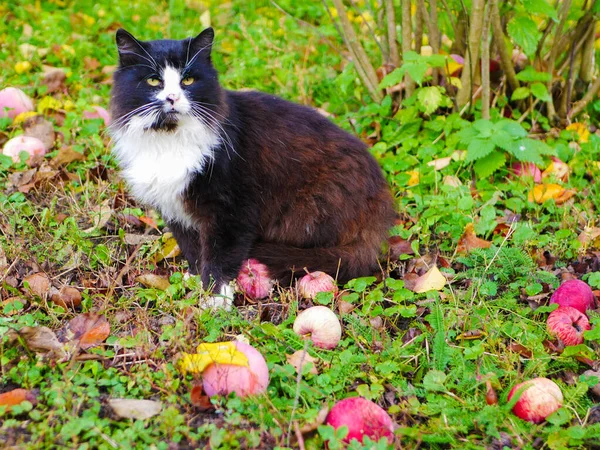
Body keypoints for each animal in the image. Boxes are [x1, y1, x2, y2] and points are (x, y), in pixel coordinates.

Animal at [110, 29, 396, 310]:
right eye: (153, 81)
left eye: (188, 80)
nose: (172, 97)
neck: (168, 139)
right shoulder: (175, 209)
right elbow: (192, 249)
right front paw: (195, 282)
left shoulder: (231, 209)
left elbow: (219, 256)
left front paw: (216, 298)